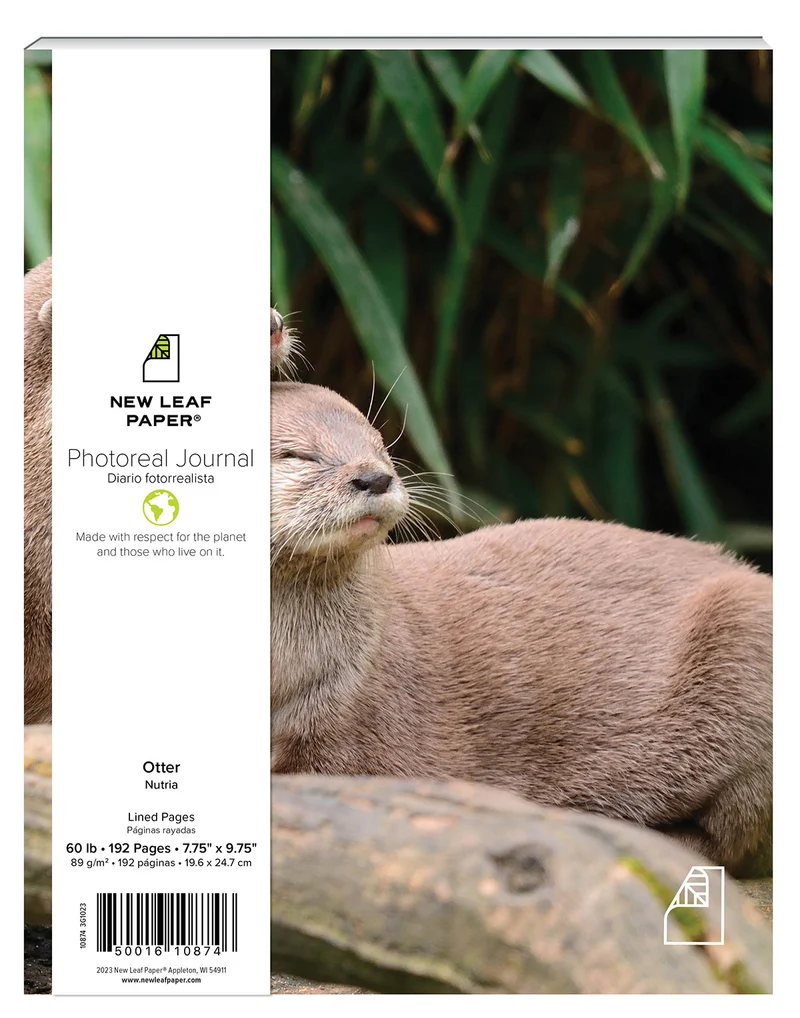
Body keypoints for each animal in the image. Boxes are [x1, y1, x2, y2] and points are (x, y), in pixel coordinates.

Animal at [270, 381, 772, 876]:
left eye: (380, 446)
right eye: (298, 455)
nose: (376, 477)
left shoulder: (355, 716)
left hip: (745, 641)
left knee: (737, 835)